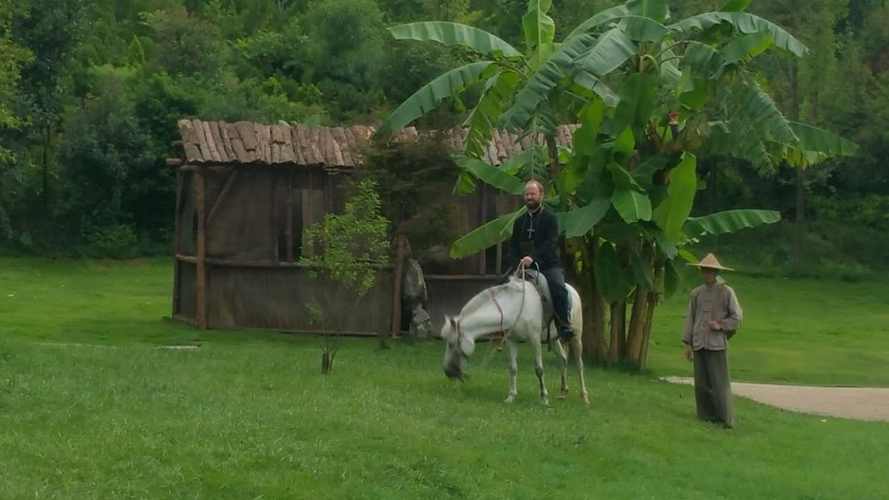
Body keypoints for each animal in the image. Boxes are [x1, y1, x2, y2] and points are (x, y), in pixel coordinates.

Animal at [438, 272, 588, 404]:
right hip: (554, 339)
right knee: (563, 359)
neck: (514, 307)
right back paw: (563, 393)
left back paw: (584, 397)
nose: (447, 372)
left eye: (451, 344)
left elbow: (539, 369)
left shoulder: (534, 340)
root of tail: (572, 289)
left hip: (576, 337)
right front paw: (511, 397)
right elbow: (513, 368)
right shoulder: (511, 341)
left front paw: (544, 398)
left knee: (579, 364)